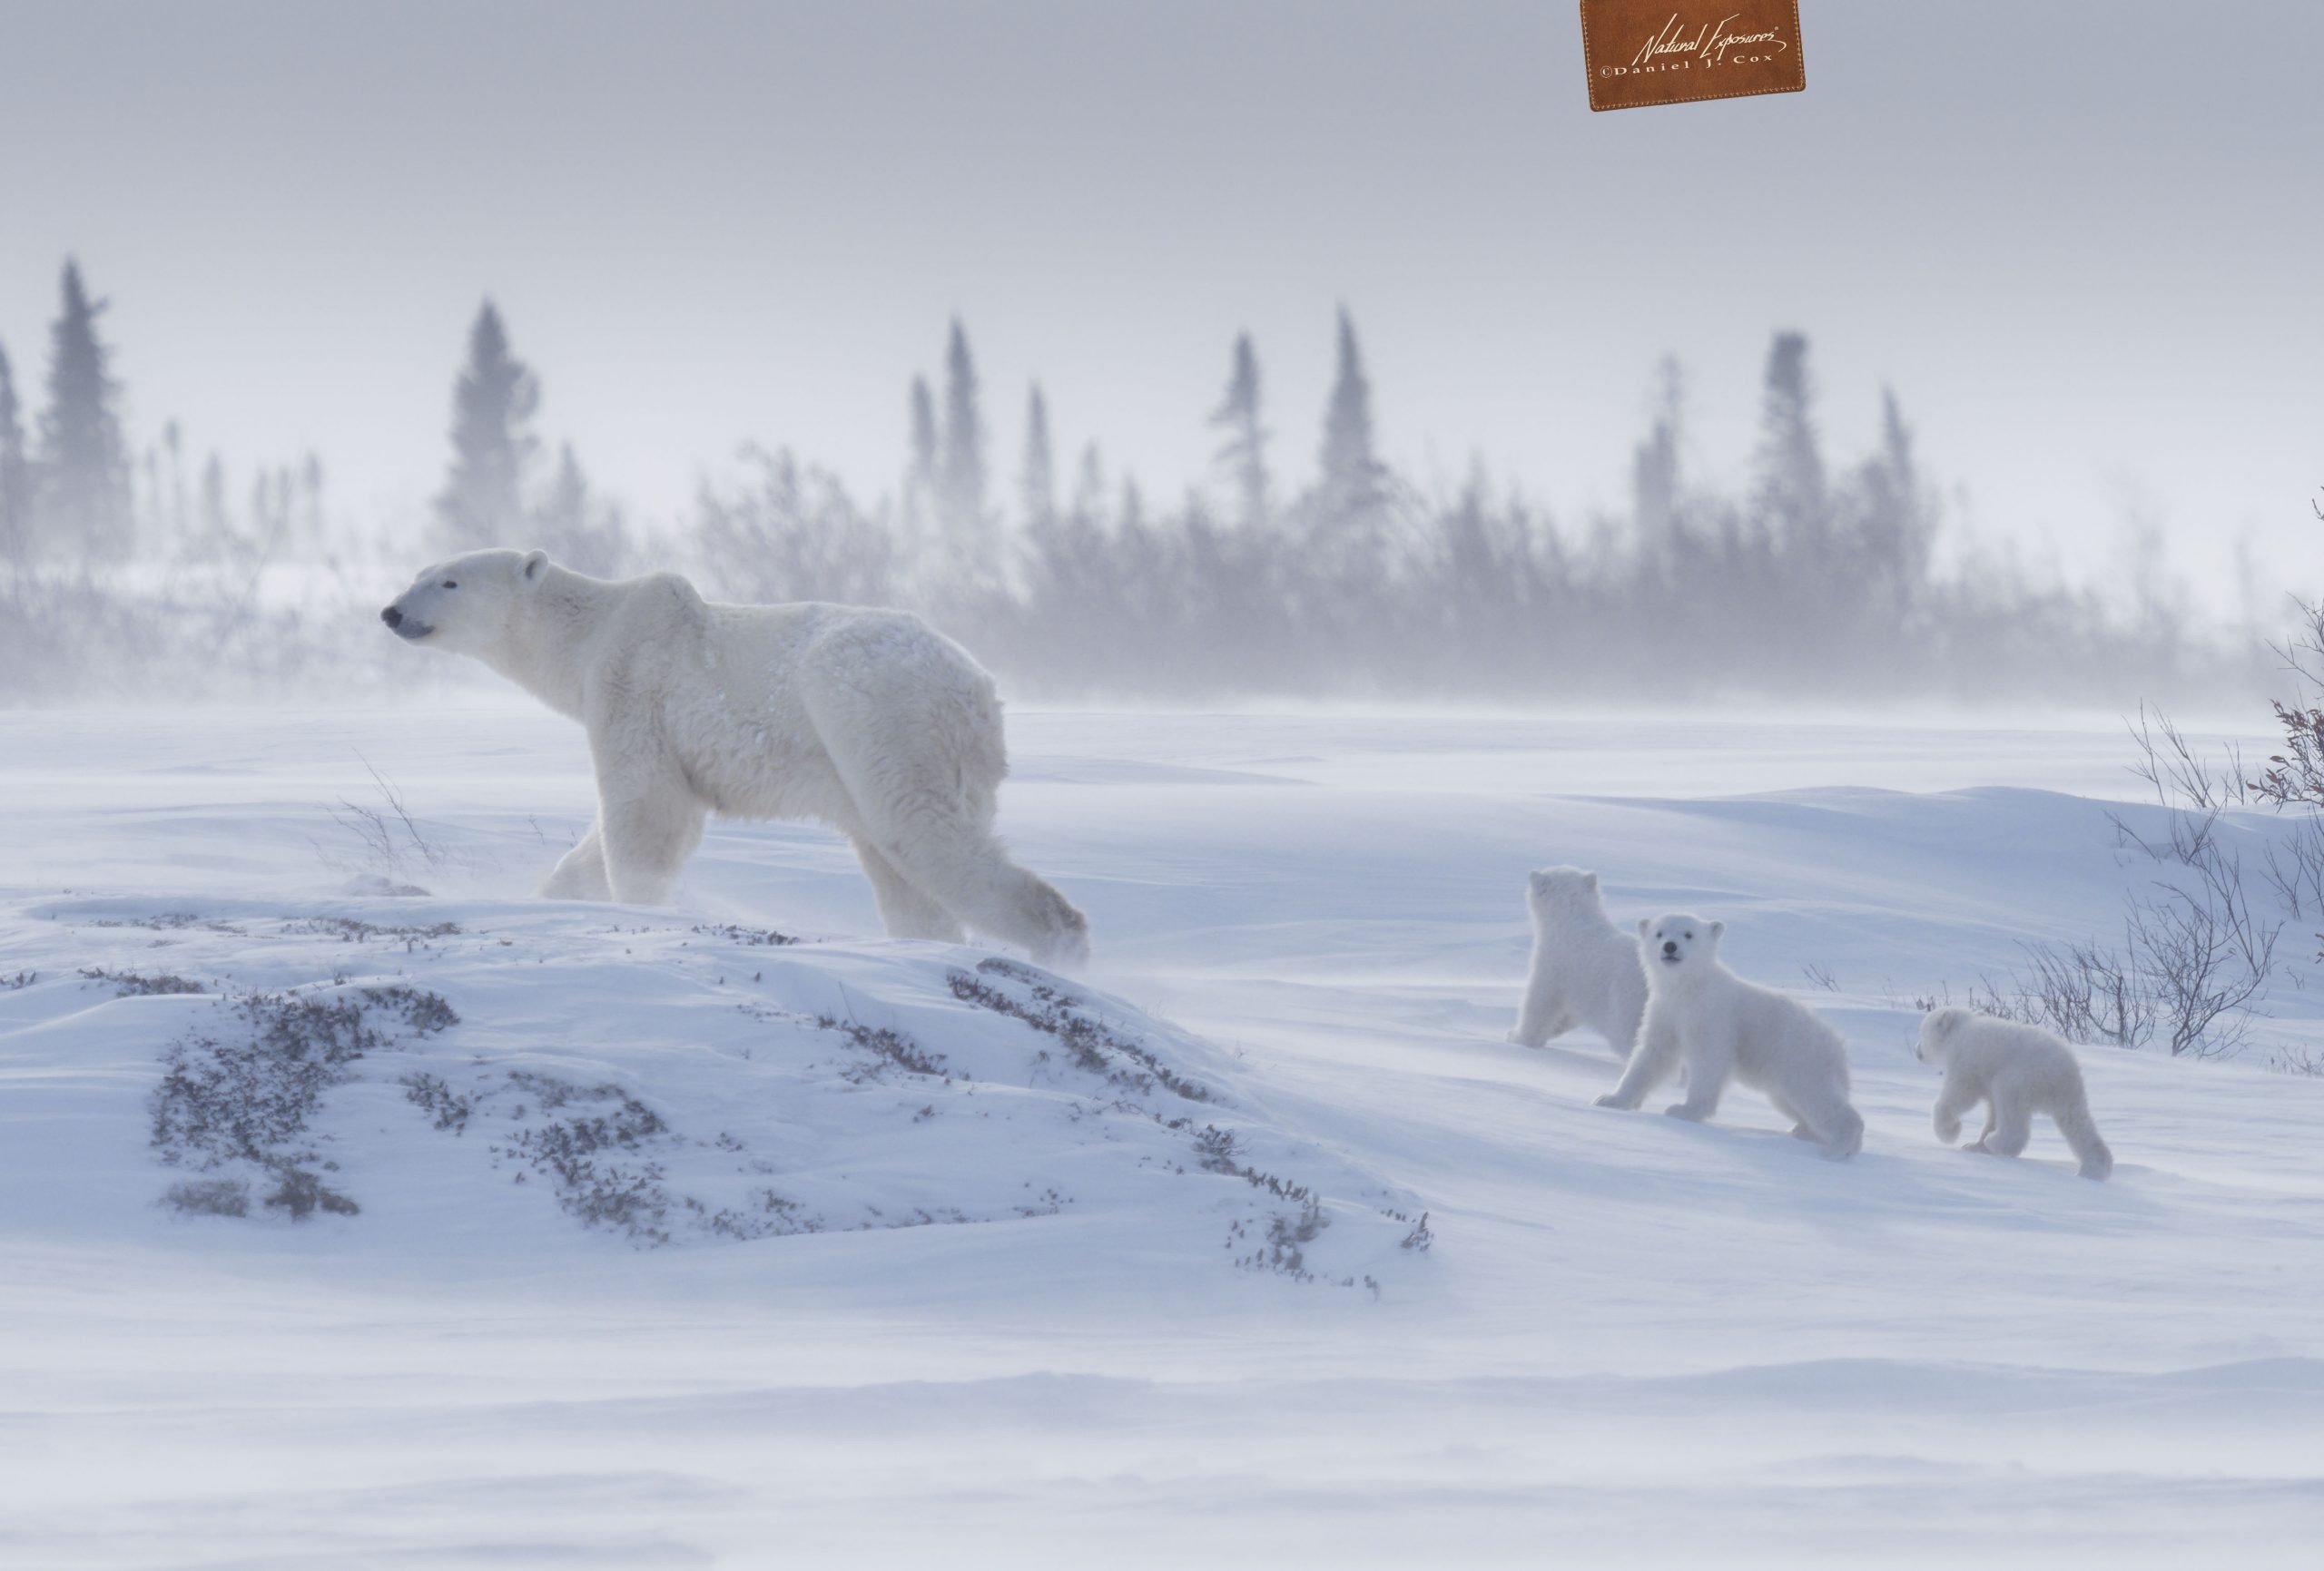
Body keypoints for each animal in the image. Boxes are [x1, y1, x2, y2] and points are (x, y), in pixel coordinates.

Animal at [381, 549, 1089, 966]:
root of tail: (977, 690)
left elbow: (644, 812)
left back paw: (1061, 942)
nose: (390, 611)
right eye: (417, 573)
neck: (590, 632)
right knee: (901, 867)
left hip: (877, 719)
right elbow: (594, 848)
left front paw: (640, 909)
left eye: (448, 581)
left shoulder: (633, 688)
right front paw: (553, 895)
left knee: (925, 835)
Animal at [1507, 867, 1647, 1057]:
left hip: (1626, 1000)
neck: (1572, 922)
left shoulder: (1552, 965)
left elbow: (1539, 1004)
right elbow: (1569, 1015)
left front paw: (1517, 1037)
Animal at [1595, 913, 1863, 1160]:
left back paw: (1837, 1147)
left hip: (1801, 1057)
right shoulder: (1665, 1012)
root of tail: (1839, 1047)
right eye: (1659, 933)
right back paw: (1804, 1131)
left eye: (1689, 934)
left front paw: (1684, 1110)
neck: (1688, 990)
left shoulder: (1713, 1016)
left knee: (1818, 1097)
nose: (1670, 946)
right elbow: (1653, 1056)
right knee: (1790, 1101)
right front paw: (1610, 1099)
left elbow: (1708, 1059)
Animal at [1915, 1007, 2112, 1179]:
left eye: (1922, 1034)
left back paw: (1996, 1142)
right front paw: (1973, 1145)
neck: (1959, 1032)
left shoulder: (1967, 1061)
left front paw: (1950, 1131)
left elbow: (1960, 1094)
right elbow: (1991, 1111)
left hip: (2021, 1076)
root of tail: (2064, 1070)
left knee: (2010, 1106)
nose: (1916, 1050)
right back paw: (2094, 1168)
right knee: (2077, 1123)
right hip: (2068, 1095)